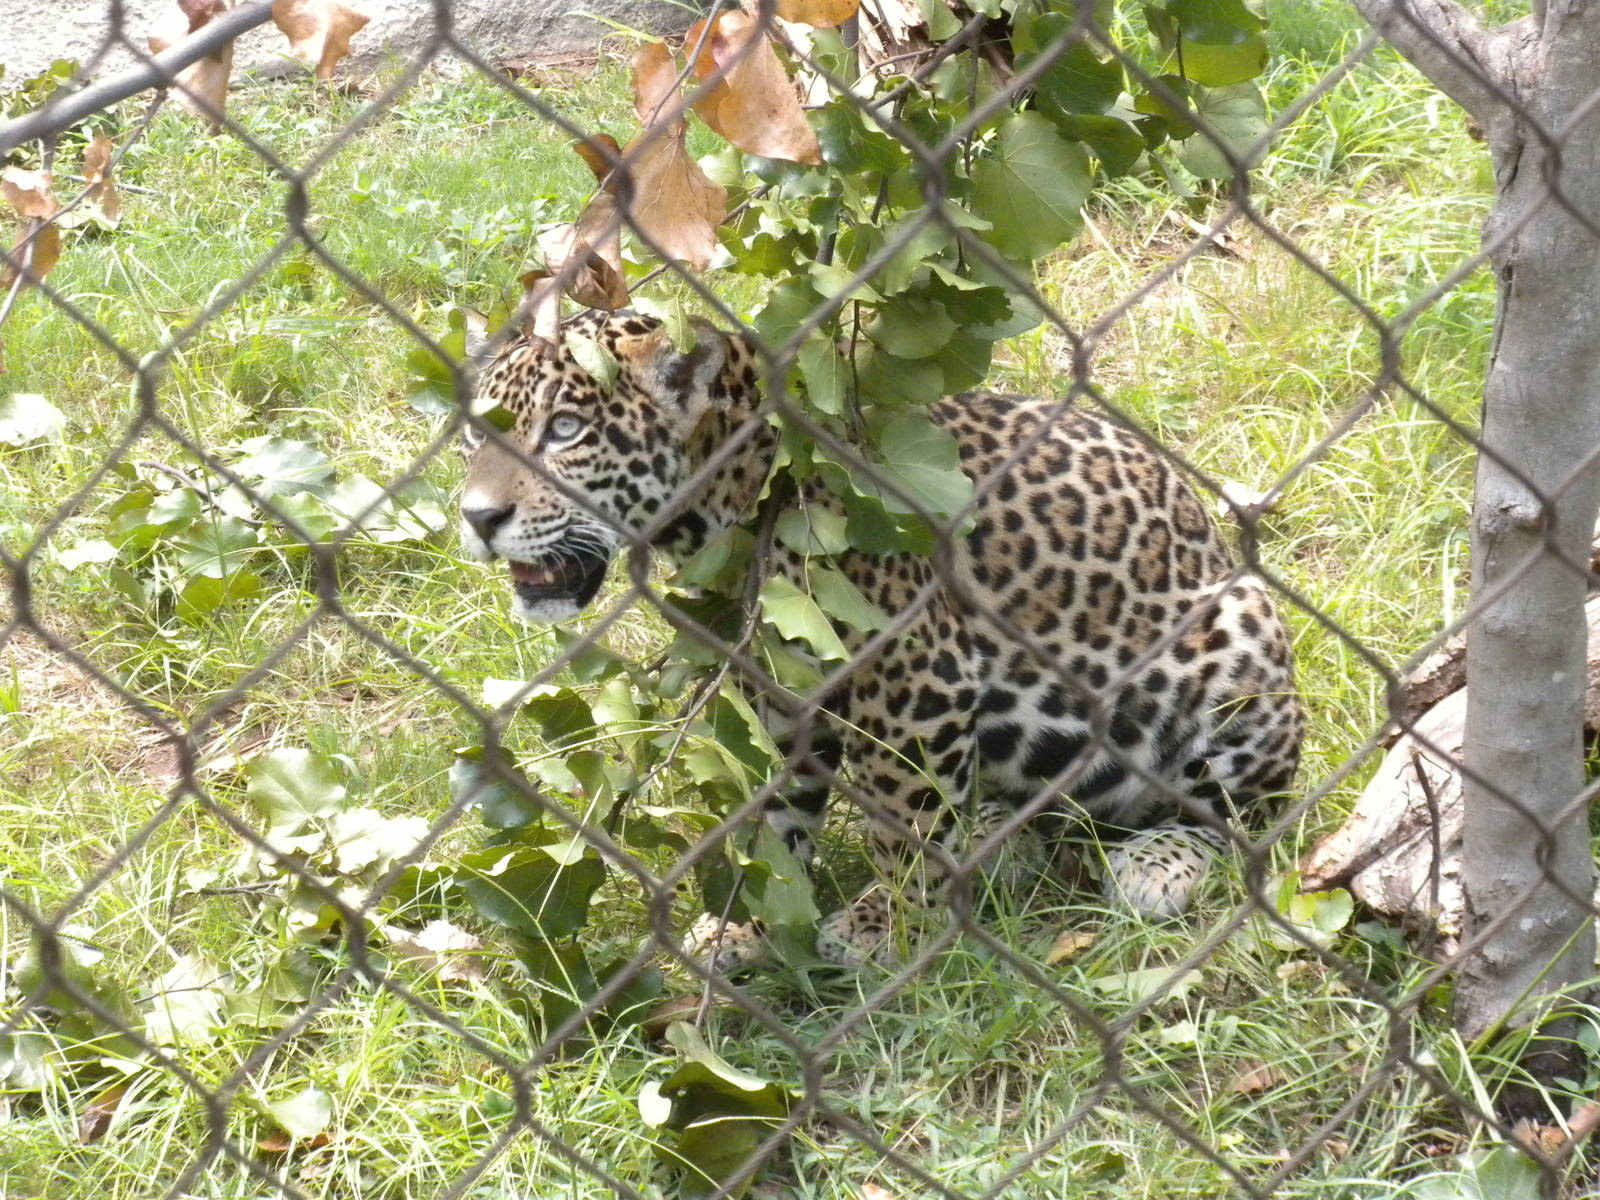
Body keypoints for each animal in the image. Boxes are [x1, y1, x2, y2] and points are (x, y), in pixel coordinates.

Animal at [458, 308, 1304, 969]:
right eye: (474, 437)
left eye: (566, 431)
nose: (475, 516)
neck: (729, 499)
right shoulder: (777, 687)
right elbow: (776, 822)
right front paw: (749, 923)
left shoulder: (914, 683)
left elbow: (903, 820)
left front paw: (887, 929)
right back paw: (994, 839)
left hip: (1236, 643)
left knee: (1243, 812)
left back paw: (1155, 863)